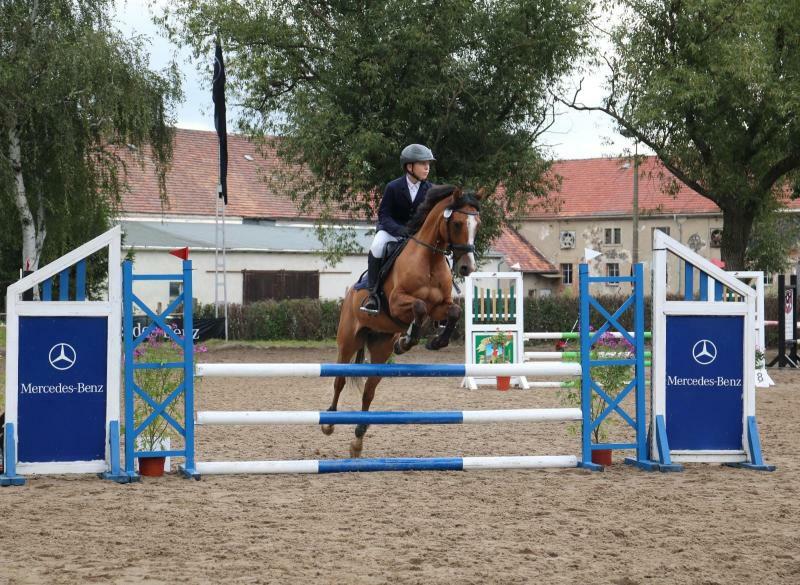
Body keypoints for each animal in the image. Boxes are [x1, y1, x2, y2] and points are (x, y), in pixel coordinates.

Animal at [320, 185, 482, 458]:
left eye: (477, 224)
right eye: (458, 223)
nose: (466, 267)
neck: (430, 259)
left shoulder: (440, 306)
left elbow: (454, 311)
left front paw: (433, 341)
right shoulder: (397, 302)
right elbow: (418, 306)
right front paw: (409, 339)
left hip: (380, 347)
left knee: (369, 391)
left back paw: (358, 439)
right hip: (348, 340)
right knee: (339, 380)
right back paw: (329, 422)